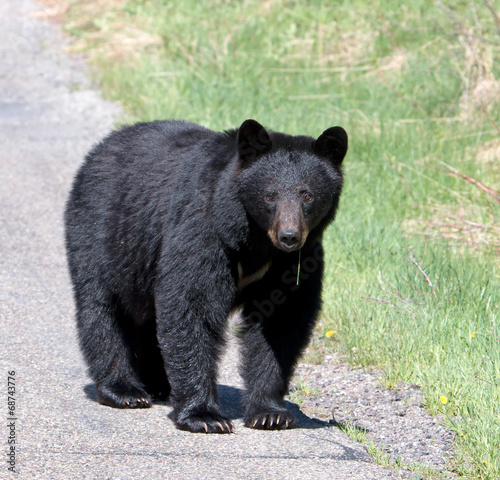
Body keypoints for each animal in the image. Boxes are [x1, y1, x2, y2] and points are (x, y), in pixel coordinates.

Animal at [64, 118, 348, 434]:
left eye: (308, 195)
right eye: (270, 194)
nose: (289, 236)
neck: (255, 241)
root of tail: (103, 146)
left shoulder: (293, 263)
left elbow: (280, 323)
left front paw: (270, 413)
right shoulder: (204, 232)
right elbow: (192, 305)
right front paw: (205, 416)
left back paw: (159, 384)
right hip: (106, 233)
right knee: (104, 307)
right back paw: (124, 390)